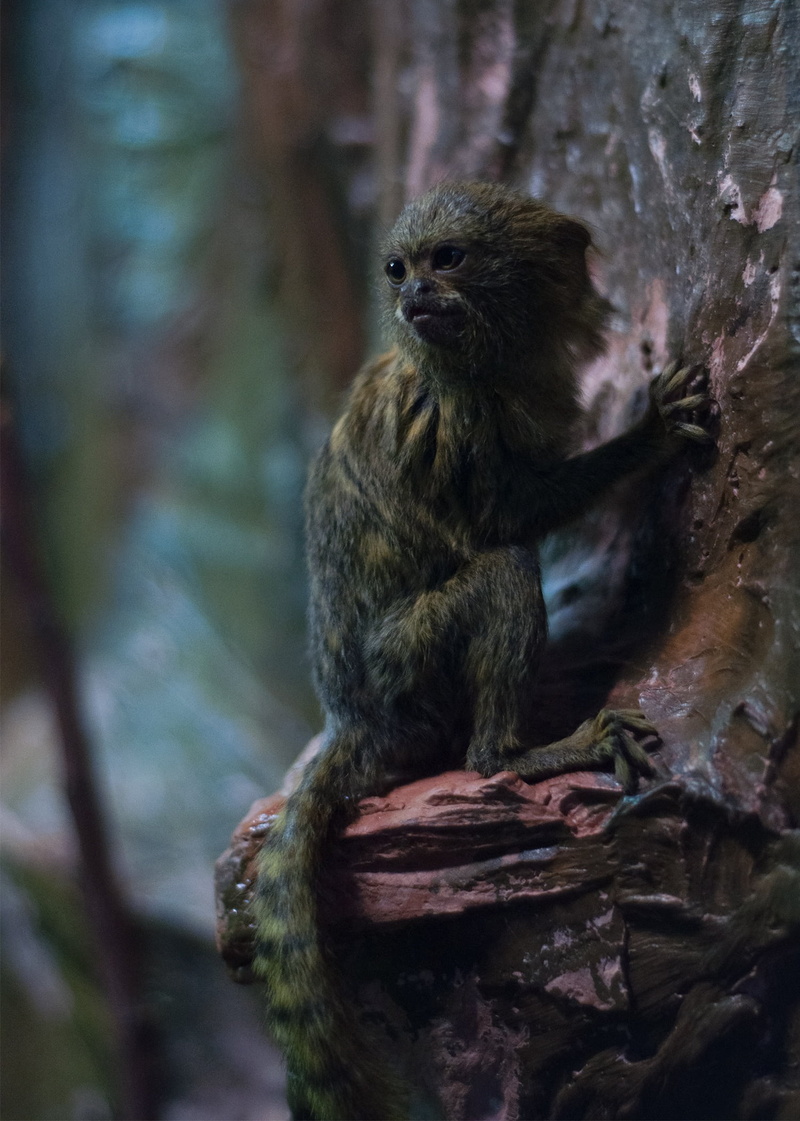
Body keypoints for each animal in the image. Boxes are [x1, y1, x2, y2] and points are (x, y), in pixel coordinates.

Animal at [252, 180, 712, 1121]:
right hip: (409, 668)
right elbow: (504, 521)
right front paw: (647, 437)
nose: (413, 297)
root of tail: (355, 720)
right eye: (398, 268)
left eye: (447, 260)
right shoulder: (454, 421)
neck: (487, 357)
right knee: (501, 579)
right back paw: (525, 752)